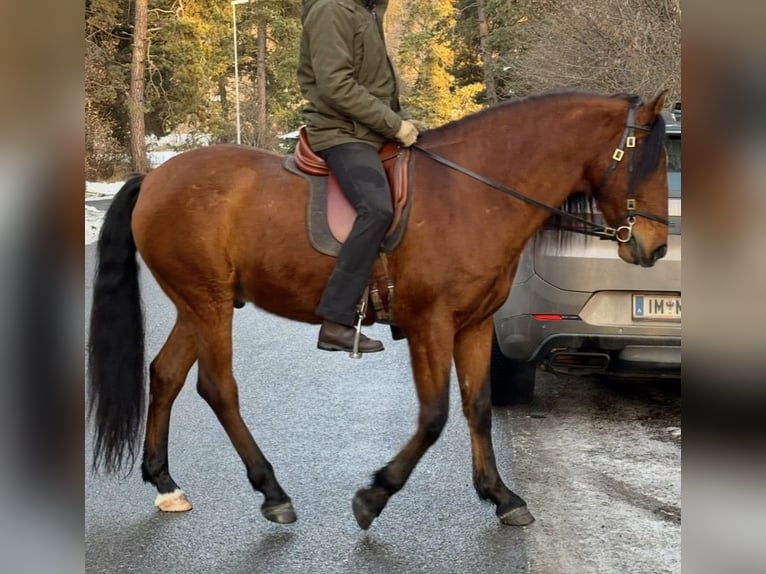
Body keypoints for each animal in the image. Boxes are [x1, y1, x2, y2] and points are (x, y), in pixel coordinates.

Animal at [87, 91, 669, 529]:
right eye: (648, 162)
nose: (657, 247)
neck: (473, 192)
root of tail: (154, 179)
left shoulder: (474, 326)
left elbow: (477, 406)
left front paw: (501, 495)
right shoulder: (430, 325)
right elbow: (434, 417)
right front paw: (375, 495)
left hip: (199, 303)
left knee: (166, 374)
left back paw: (165, 483)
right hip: (208, 303)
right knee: (217, 388)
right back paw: (272, 491)